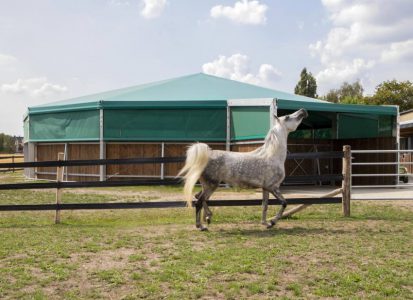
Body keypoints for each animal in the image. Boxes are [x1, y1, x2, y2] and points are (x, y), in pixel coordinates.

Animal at [179, 109, 308, 231]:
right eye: (287, 117)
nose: (303, 111)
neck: (272, 156)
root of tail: (205, 156)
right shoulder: (273, 187)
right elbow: (284, 203)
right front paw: (272, 222)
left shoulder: (265, 188)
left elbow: (264, 206)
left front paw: (265, 223)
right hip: (211, 185)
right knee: (198, 202)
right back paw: (201, 226)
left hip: (207, 185)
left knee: (198, 197)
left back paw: (208, 217)